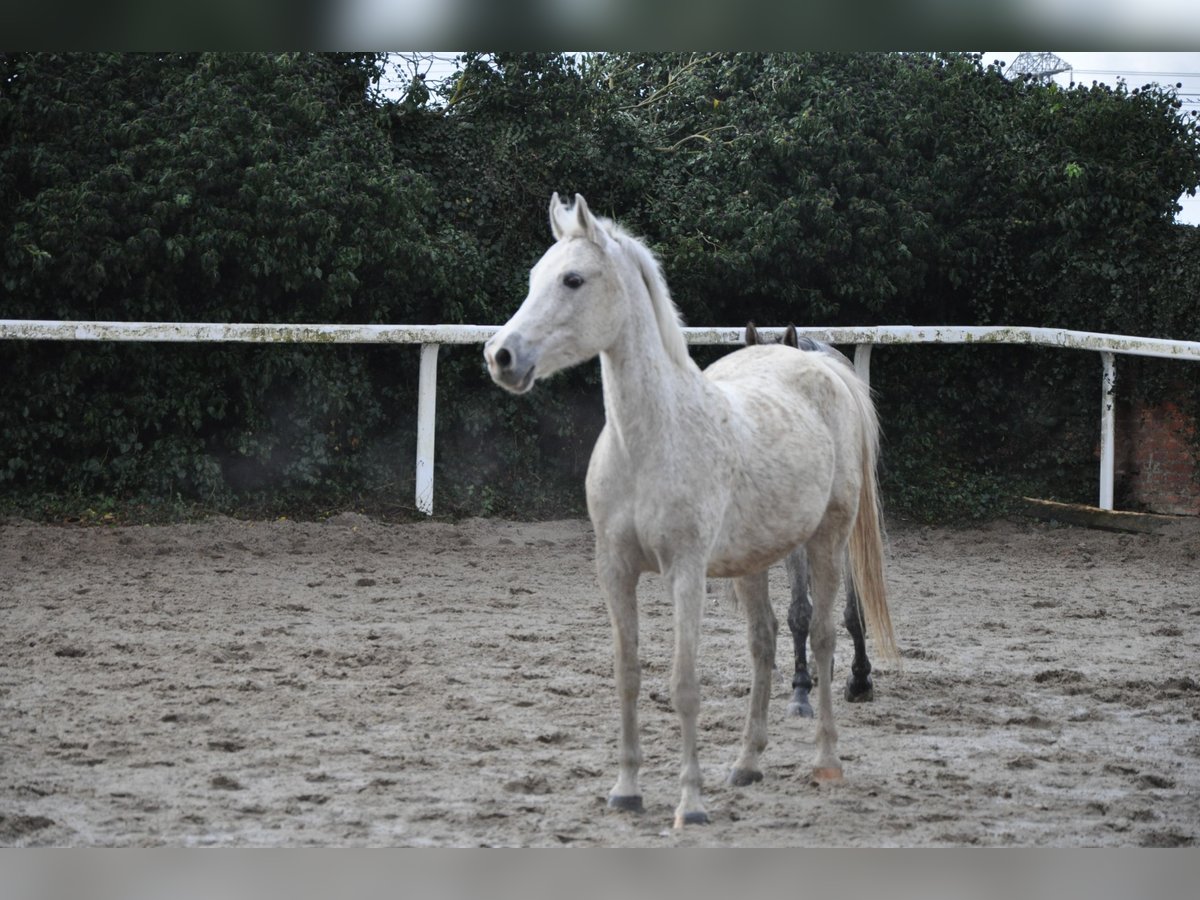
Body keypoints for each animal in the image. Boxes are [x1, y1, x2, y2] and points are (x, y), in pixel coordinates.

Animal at [482, 194, 897, 830]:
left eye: (573, 279)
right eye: (534, 277)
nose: (502, 356)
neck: (651, 439)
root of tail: (822, 367)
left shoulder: (686, 572)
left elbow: (684, 684)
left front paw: (690, 804)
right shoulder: (615, 571)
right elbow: (628, 676)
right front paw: (626, 791)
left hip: (827, 540)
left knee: (825, 636)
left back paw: (826, 761)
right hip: (755, 560)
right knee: (765, 642)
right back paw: (747, 764)